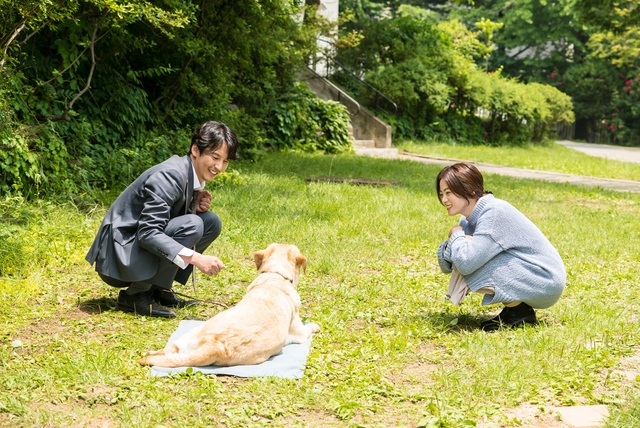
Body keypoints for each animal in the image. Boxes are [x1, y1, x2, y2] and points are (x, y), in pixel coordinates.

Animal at [139, 244, 320, 368]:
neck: (274, 276)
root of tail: (216, 347)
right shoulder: (299, 334)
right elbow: (309, 327)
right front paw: (315, 326)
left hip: (188, 338)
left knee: (169, 352)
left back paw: (151, 353)